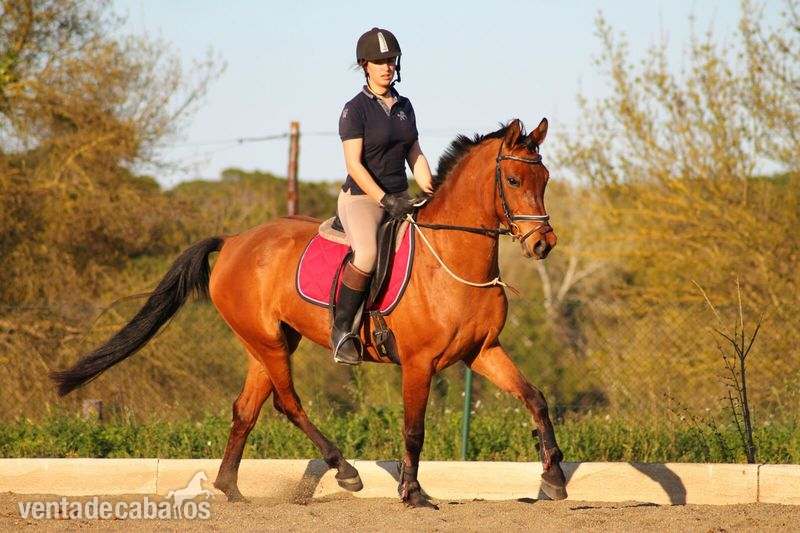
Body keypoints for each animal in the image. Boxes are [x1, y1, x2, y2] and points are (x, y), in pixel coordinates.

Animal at [51, 118, 567, 507]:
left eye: (544, 181)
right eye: (514, 180)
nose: (543, 244)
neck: (453, 259)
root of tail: (234, 240)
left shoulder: (483, 350)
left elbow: (536, 397)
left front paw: (554, 476)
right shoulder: (419, 363)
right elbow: (414, 429)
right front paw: (413, 493)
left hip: (267, 341)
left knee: (246, 409)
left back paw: (230, 489)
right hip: (269, 341)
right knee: (288, 403)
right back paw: (345, 470)